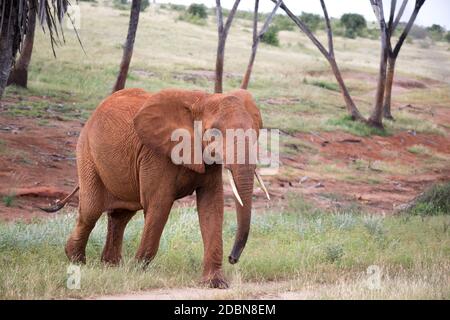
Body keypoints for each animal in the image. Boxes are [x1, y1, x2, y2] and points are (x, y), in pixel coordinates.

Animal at [40, 87, 268, 288]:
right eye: (215, 133)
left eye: (256, 133)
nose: (232, 258)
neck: (203, 99)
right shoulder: (156, 155)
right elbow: (159, 205)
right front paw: (135, 271)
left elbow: (211, 207)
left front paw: (215, 284)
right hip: (87, 152)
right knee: (91, 211)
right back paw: (77, 261)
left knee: (120, 216)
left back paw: (111, 266)